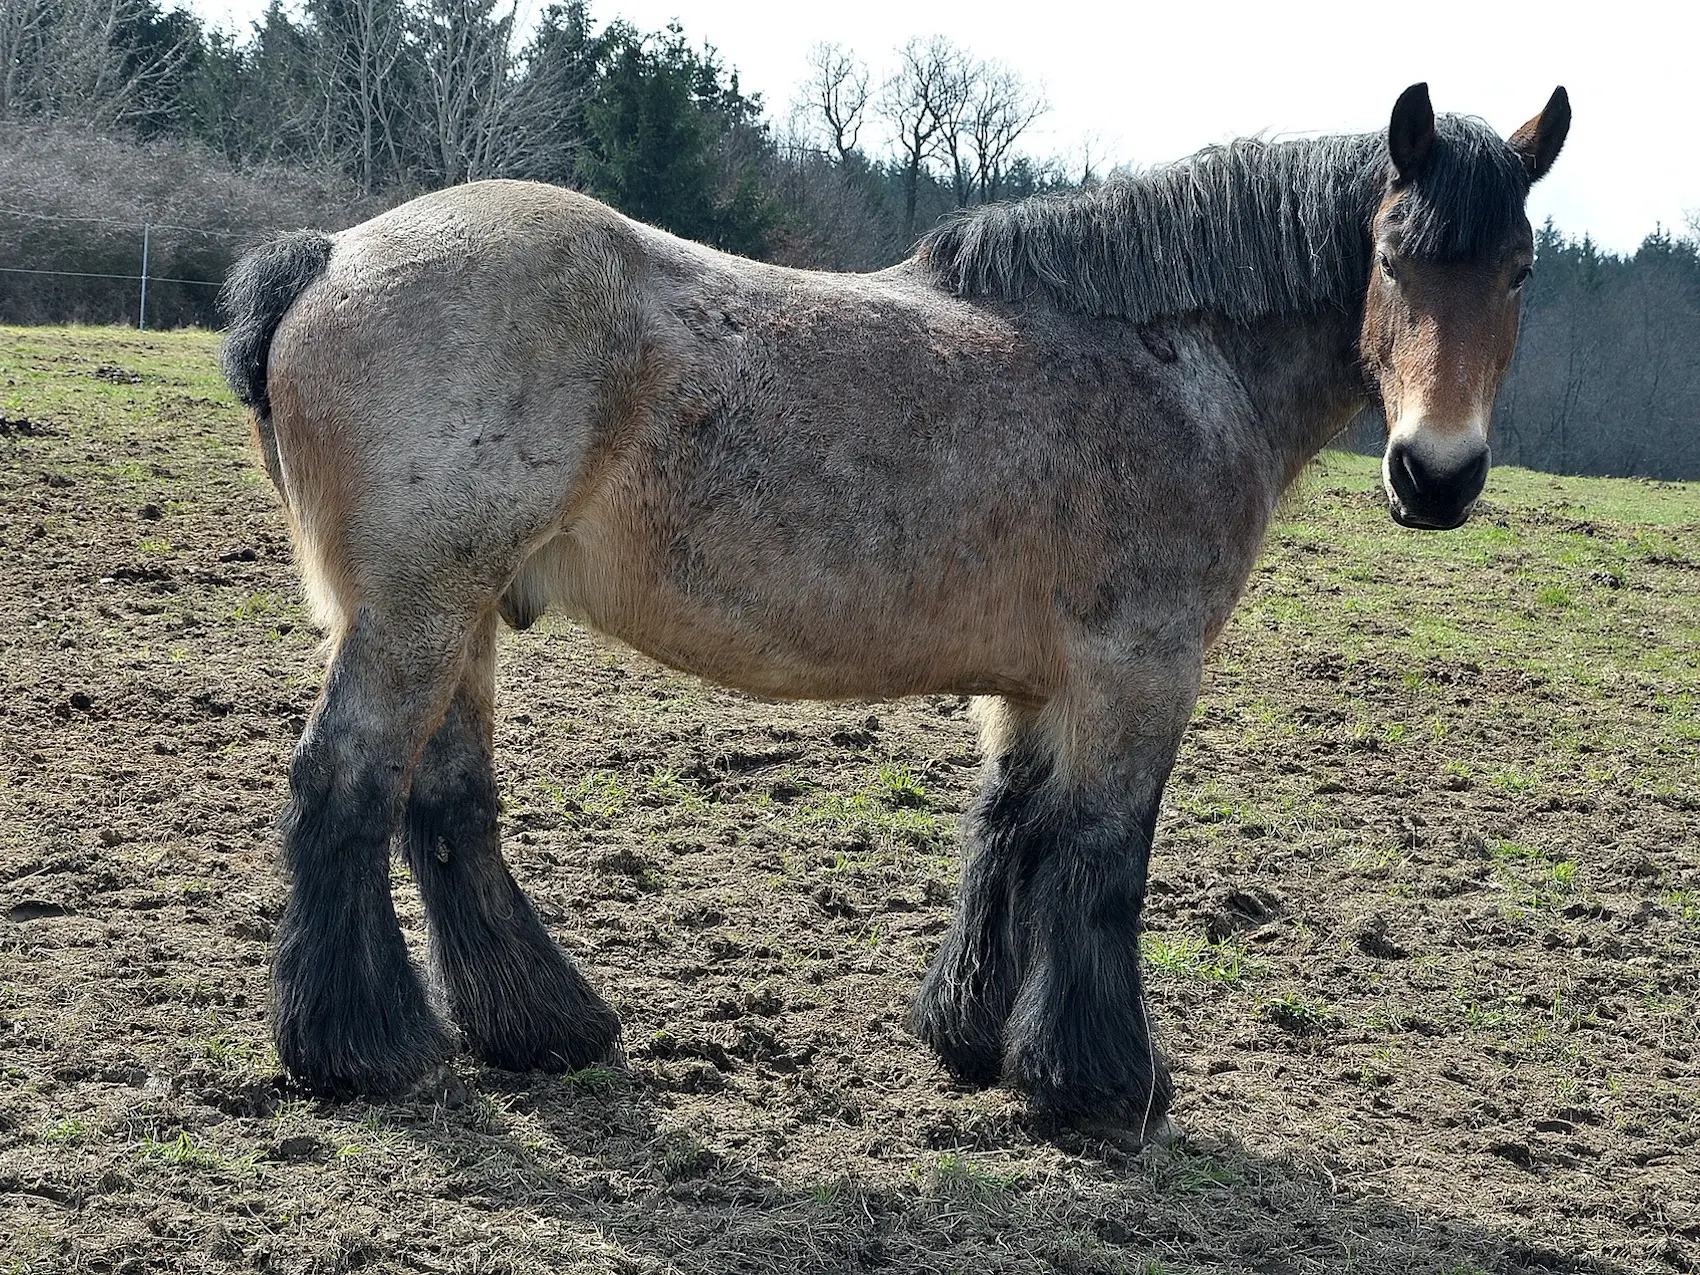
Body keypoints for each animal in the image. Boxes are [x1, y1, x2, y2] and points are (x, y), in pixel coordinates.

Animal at [222, 82, 1564, 1135]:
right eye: (1391, 256)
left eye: (1516, 270)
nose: (1434, 476)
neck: (1167, 358)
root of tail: (328, 255)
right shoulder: (1139, 668)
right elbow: (1103, 860)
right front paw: (1100, 1088)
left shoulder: (1040, 682)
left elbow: (1012, 835)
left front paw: (973, 1040)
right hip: (416, 607)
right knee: (346, 785)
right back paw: (365, 1051)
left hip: (455, 611)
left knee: (444, 805)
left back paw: (537, 1028)